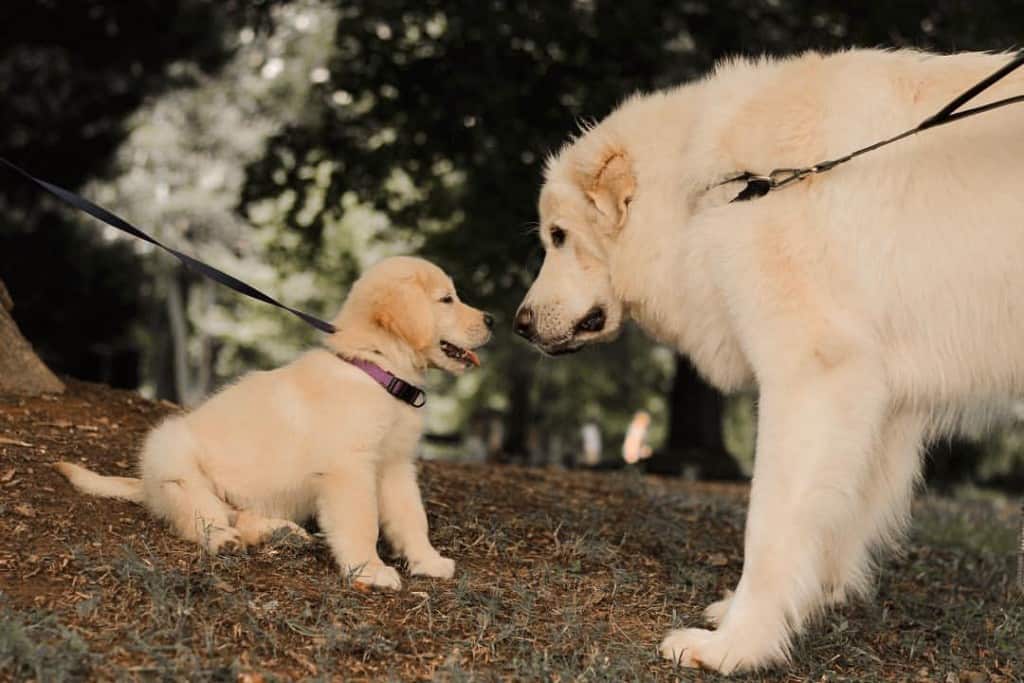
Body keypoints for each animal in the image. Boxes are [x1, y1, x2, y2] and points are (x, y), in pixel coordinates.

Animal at [58, 255, 491, 589]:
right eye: (447, 299)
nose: (490, 319)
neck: (377, 367)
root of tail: (145, 485)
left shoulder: (396, 465)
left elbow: (411, 516)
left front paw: (427, 561)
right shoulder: (349, 469)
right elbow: (362, 521)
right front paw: (369, 570)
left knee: (239, 514)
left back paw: (279, 532)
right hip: (173, 456)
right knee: (199, 514)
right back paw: (224, 541)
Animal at [516, 49, 1024, 671]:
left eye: (560, 236)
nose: (518, 324)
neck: (709, 187)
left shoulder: (809, 378)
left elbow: (770, 525)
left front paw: (737, 644)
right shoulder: (879, 408)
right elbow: (834, 522)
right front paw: (791, 607)